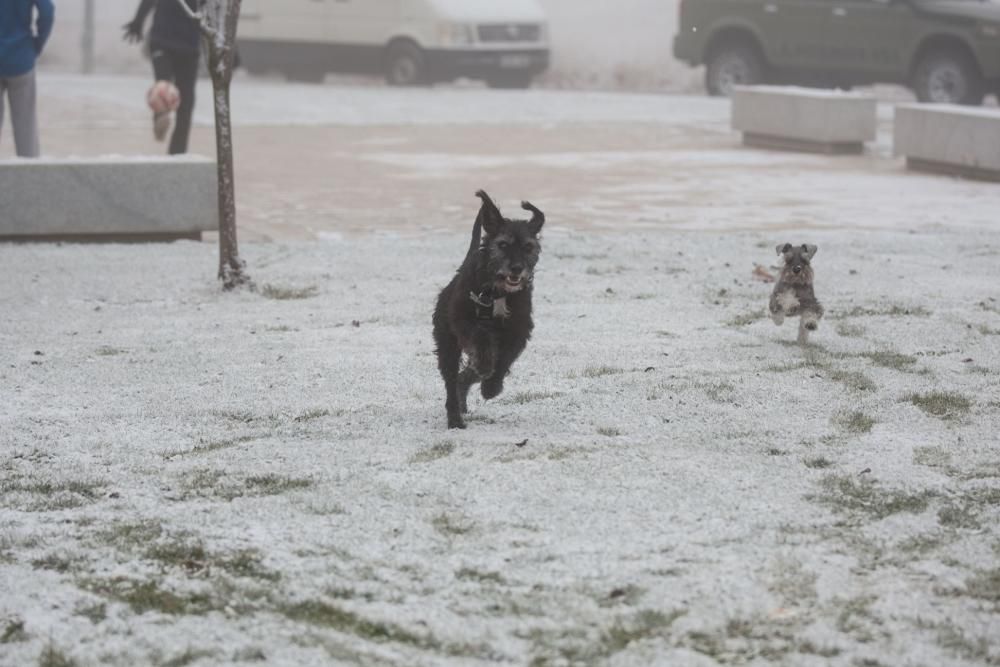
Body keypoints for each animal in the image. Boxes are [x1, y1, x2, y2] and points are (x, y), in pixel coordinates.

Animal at [432, 189, 544, 428]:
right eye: (503, 245)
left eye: (528, 247)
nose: (516, 269)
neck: (498, 292)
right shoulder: (462, 320)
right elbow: (481, 336)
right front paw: (485, 367)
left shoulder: (519, 330)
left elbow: (504, 359)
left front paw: (491, 387)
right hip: (447, 344)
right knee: (453, 380)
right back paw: (455, 418)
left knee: (466, 376)